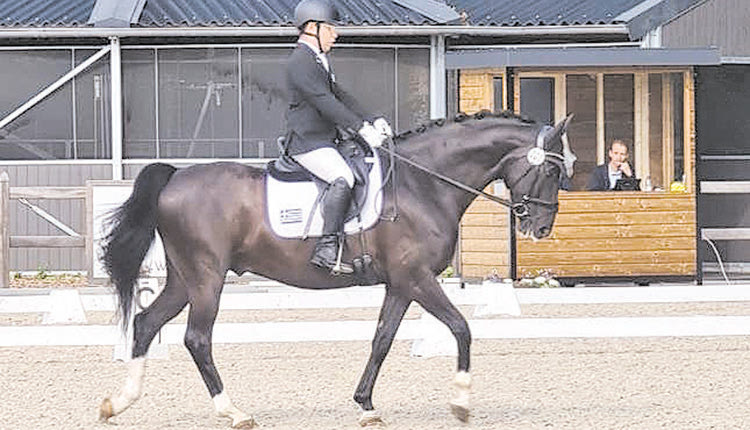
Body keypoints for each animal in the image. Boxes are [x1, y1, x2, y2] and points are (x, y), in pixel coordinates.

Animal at [95, 111, 576, 426]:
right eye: (553, 173)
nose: (542, 228)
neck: (424, 183)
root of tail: (175, 177)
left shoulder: (401, 284)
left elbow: (382, 340)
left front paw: (365, 405)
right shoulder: (418, 278)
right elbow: (461, 327)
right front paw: (460, 403)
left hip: (185, 279)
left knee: (145, 323)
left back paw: (118, 403)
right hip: (207, 278)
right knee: (196, 338)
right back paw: (233, 411)